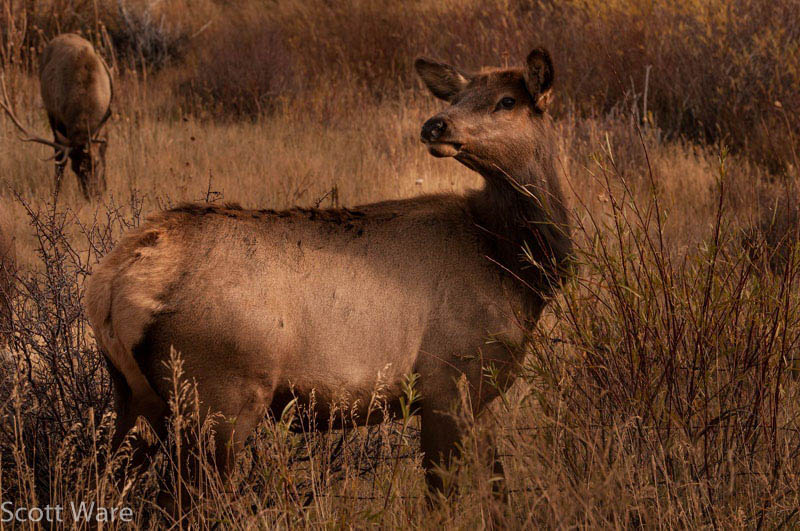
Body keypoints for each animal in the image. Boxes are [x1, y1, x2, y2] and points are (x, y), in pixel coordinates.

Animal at [0, 33, 112, 199]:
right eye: (75, 169)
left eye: (95, 163)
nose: (92, 195)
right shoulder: (58, 119)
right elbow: (59, 160)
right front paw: (56, 194)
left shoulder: (104, 123)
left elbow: (104, 151)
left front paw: (105, 187)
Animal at [85, 47, 573, 500]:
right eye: (458, 97)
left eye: (507, 101)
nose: (436, 125)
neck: (515, 267)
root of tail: (108, 286)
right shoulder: (446, 381)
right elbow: (444, 495)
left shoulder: (483, 395)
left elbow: (498, 488)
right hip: (219, 394)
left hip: (134, 396)